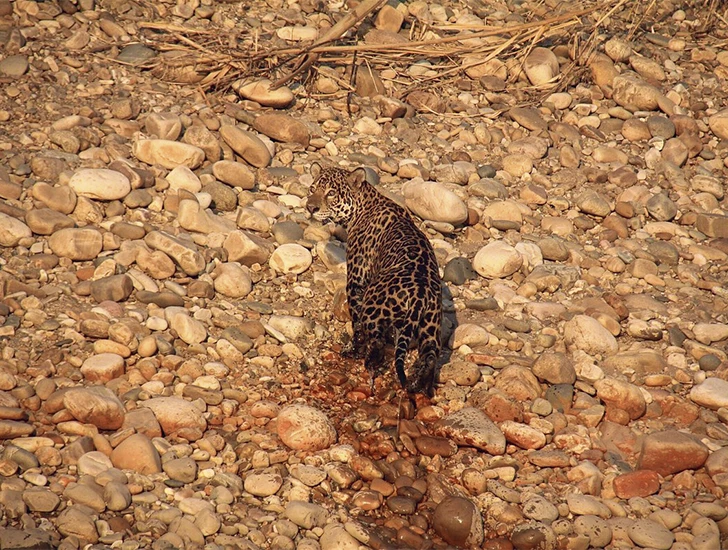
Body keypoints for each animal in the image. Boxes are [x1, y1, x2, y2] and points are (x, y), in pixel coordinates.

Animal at [306, 163, 442, 396]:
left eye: (331, 193)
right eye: (312, 188)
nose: (310, 208)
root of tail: (419, 293)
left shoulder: (356, 281)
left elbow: (356, 324)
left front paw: (353, 349)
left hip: (373, 302)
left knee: (375, 340)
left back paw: (369, 363)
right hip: (430, 326)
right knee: (430, 356)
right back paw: (421, 386)